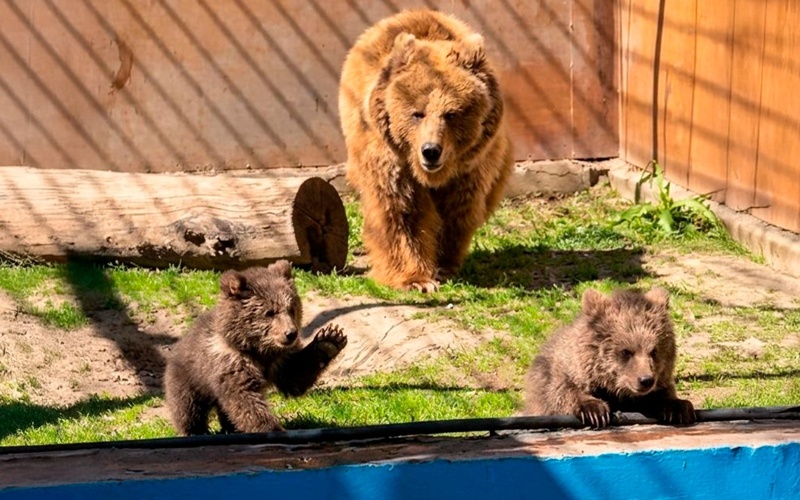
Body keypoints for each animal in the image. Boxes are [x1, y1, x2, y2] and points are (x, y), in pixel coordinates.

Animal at [163, 260, 347, 435]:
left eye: (291, 308)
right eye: (269, 312)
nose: (291, 333)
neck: (258, 349)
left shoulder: (280, 359)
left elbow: (295, 376)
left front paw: (330, 340)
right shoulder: (231, 362)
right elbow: (246, 400)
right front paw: (273, 428)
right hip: (188, 379)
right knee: (188, 410)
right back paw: (195, 431)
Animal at [338, 9, 514, 292]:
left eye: (451, 113)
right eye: (417, 113)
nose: (431, 151)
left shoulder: (469, 168)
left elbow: (456, 210)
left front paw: (443, 264)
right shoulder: (392, 158)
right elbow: (402, 210)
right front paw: (416, 279)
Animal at [523, 287, 696, 429]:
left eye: (654, 351)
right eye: (626, 351)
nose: (646, 380)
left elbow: (663, 395)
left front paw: (678, 408)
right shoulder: (555, 377)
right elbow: (563, 392)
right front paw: (594, 410)